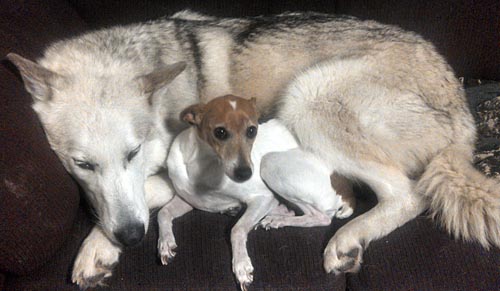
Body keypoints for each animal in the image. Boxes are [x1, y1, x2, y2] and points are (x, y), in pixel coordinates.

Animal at [162, 95, 354, 290]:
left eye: (252, 130)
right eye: (220, 132)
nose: (245, 173)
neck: (203, 167)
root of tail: (346, 191)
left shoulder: (264, 198)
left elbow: (237, 229)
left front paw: (241, 265)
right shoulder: (188, 200)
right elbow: (163, 213)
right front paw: (165, 243)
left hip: (270, 164)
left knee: (320, 217)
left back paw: (277, 219)